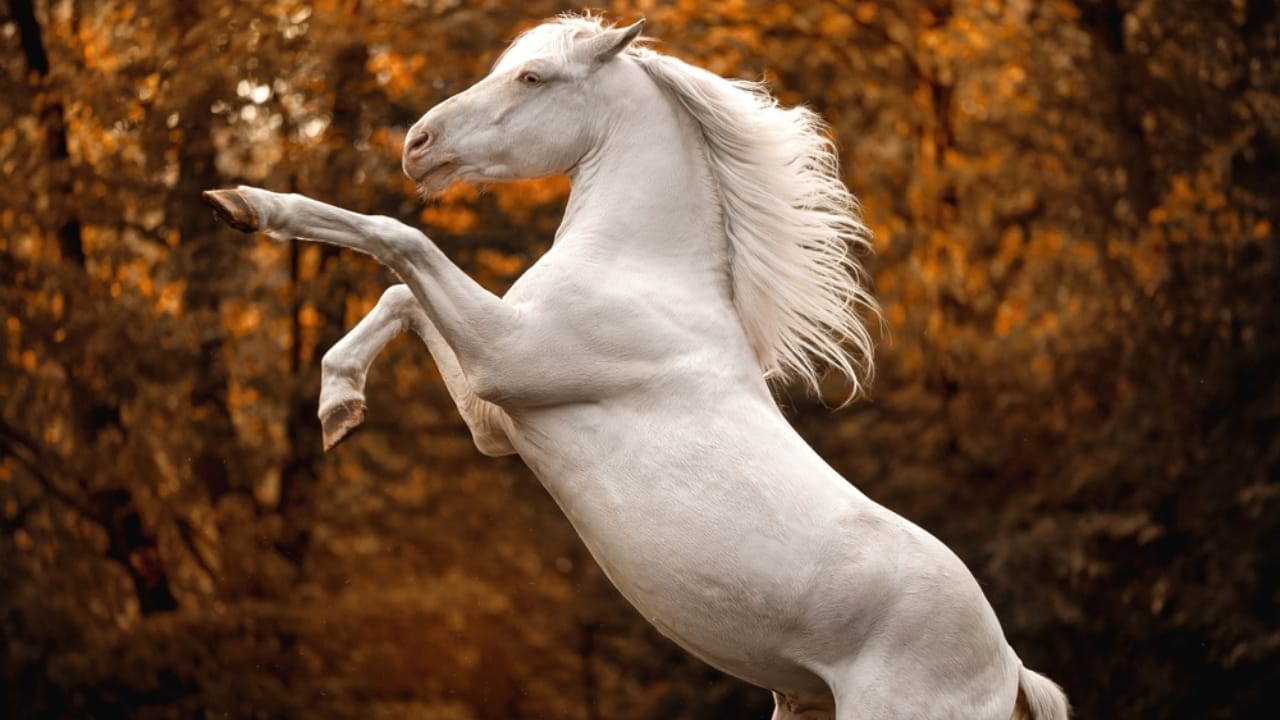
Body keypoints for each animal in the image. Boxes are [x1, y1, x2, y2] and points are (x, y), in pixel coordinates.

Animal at [204, 15, 1068, 720]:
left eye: (532, 77)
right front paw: (338, 404)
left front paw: (246, 203)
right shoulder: (495, 415)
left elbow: (395, 238)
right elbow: (396, 291)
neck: (643, 268)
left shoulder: (505, 360)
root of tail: (1009, 672)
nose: (417, 145)